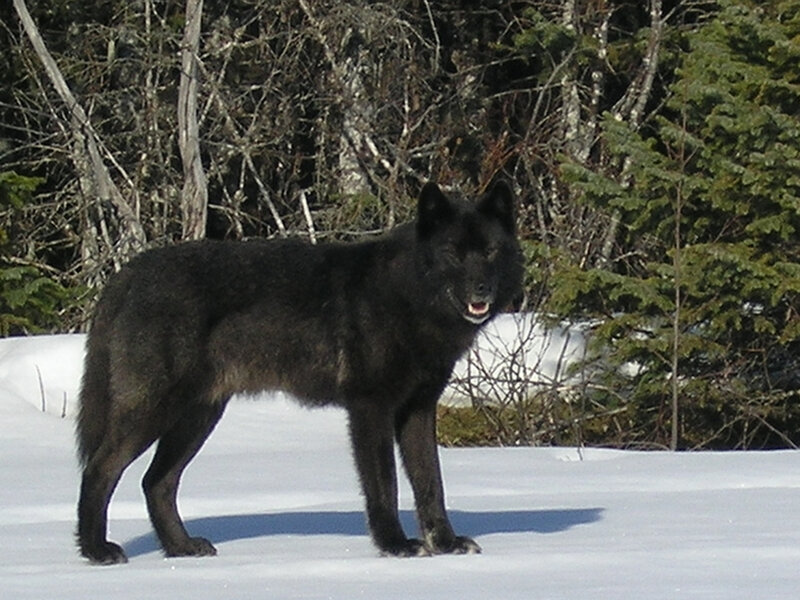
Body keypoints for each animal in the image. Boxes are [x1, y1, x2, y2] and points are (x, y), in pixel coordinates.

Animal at [76, 181, 523, 564]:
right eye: (452, 252)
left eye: (490, 251)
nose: (481, 289)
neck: (407, 296)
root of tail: (128, 273)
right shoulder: (370, 409)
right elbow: (385, 487)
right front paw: (395, 545)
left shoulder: (418, 410)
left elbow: (432, 485)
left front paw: (445, 544)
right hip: (154, 411)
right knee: (99, 469)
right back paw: (97, 551)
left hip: (198, 418)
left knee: (156, 483)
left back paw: (181, 548)